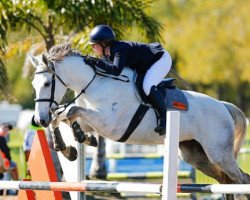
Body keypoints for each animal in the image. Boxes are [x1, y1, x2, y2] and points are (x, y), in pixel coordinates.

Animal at [29, 43, 250, 199]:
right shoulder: (91, 118)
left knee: (240, 180)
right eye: (33, 84)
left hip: (219, 153)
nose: (40, 119)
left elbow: (71, 111)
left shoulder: (109, 124)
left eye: (47, 83)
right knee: (227, 180)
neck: (94, 83)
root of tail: (223, 106)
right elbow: (64, 116)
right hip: (196, 156)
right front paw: (71, 147)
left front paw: (80, 139)